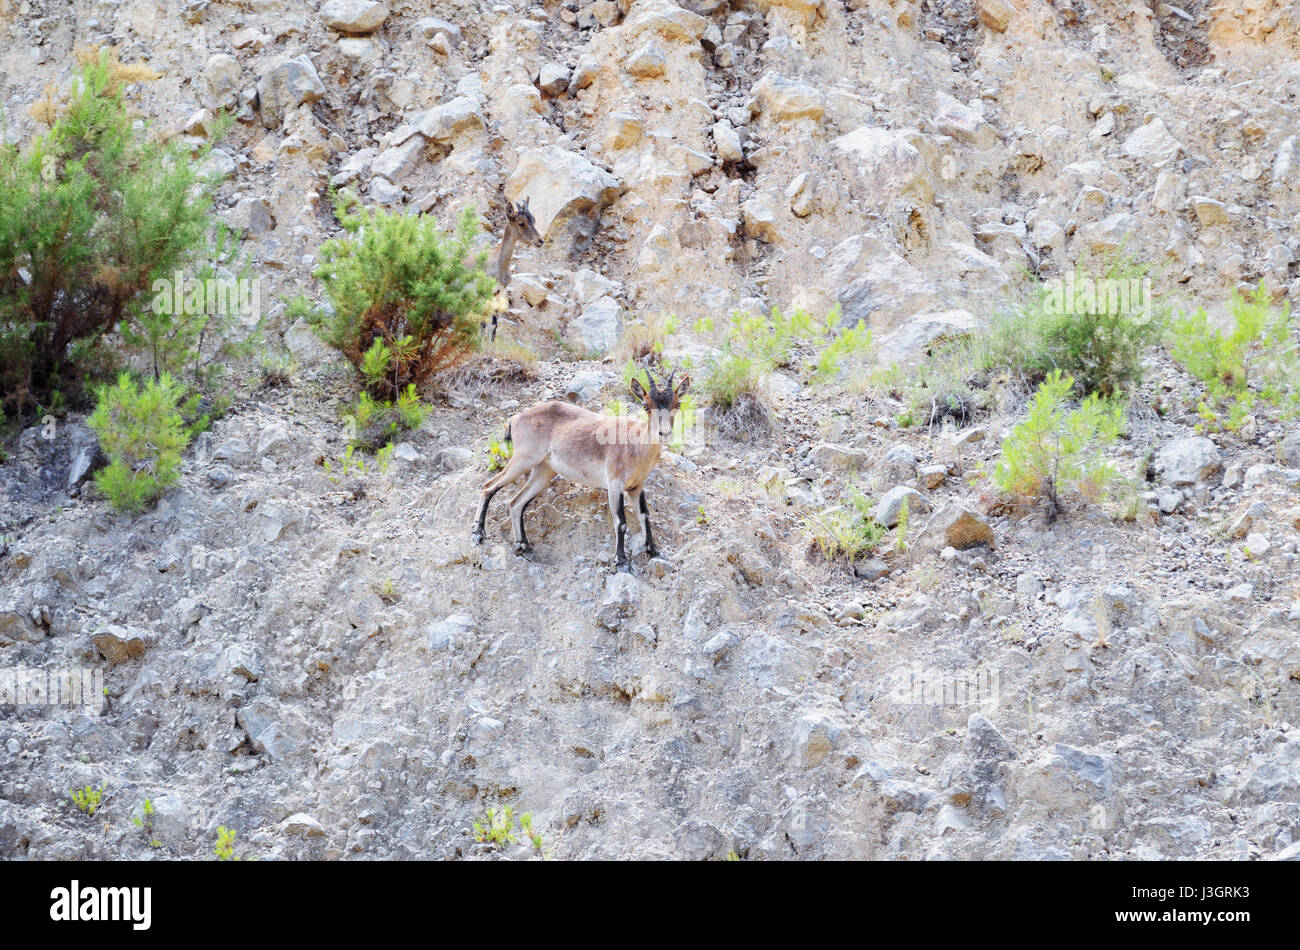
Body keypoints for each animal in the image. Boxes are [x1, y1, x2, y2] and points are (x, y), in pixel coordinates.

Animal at [472, 372, 691, 573]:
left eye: (677, 404)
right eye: (645, 405)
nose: (664, 433)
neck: (636, 445)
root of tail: (517, 418)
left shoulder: (637, 486)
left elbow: (644, 516)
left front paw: (654, 551)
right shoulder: (614, 485)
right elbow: (620, 522)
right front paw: (621, 561)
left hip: (543, 471)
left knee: (516, 503)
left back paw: (523, 547)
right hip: (523, 459)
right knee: (488, 487)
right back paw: (478, 533)